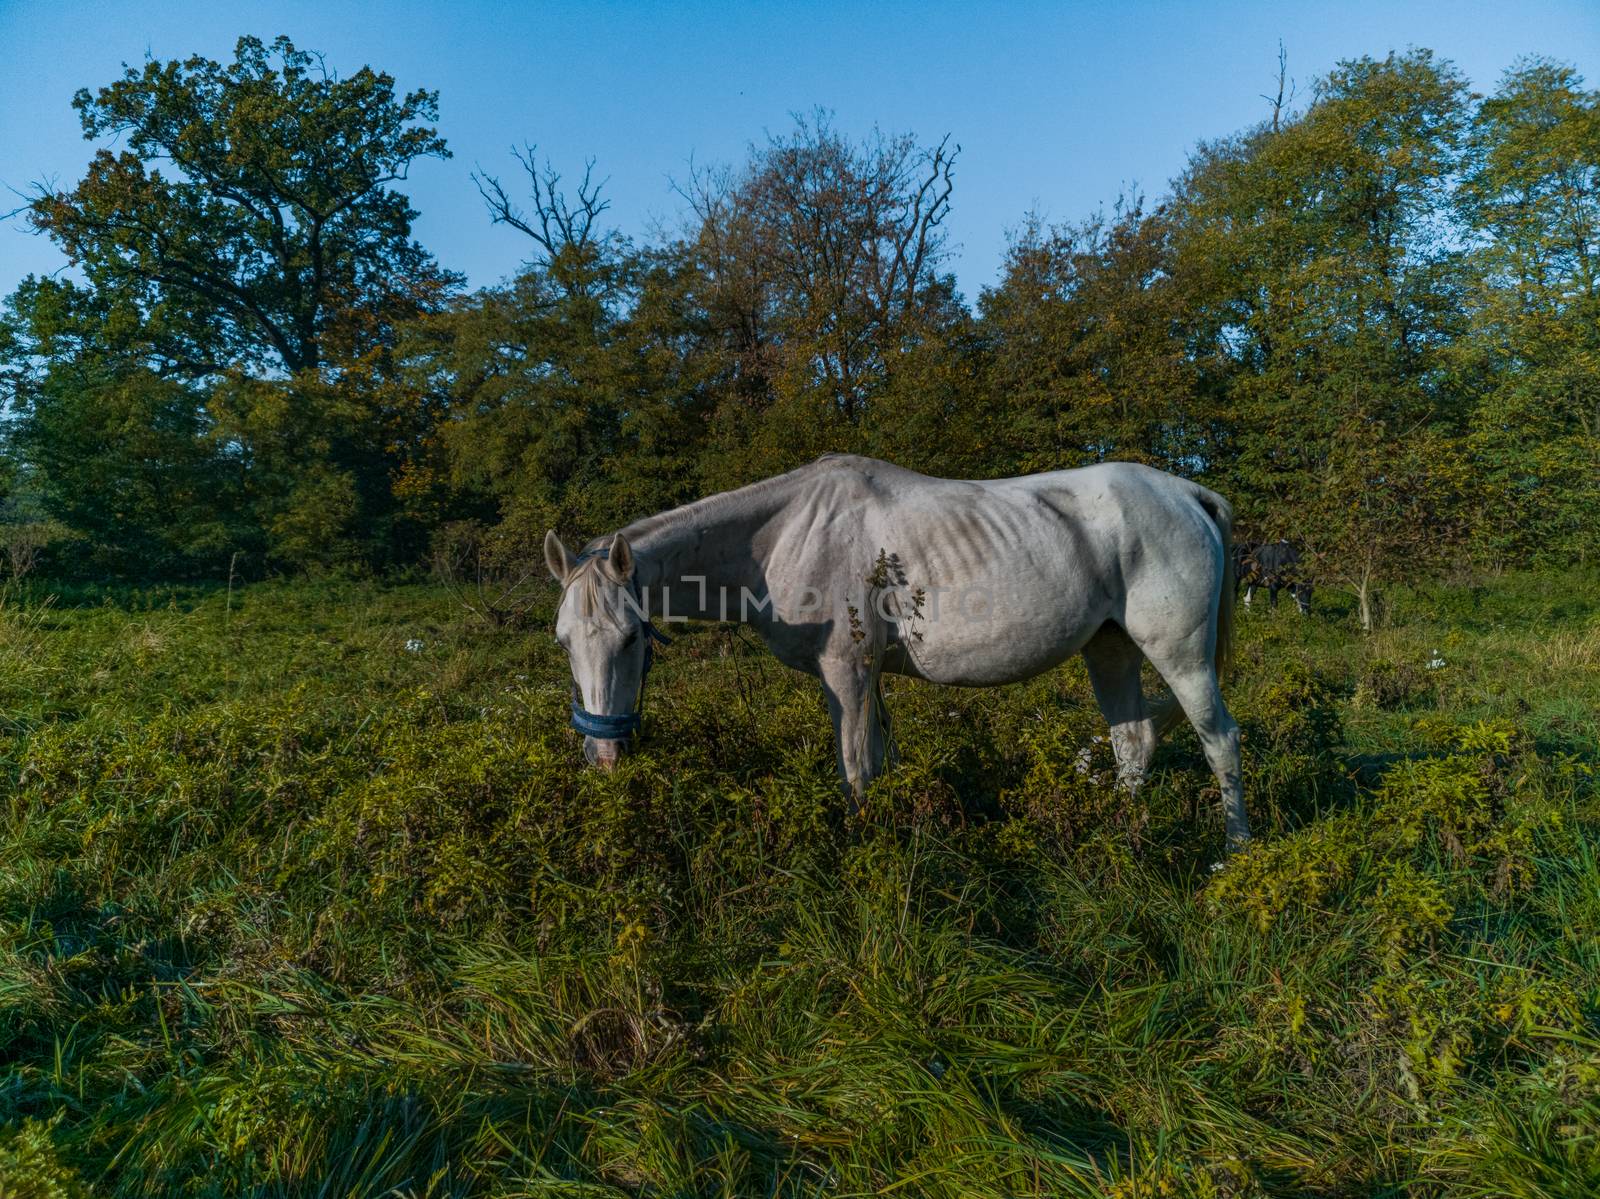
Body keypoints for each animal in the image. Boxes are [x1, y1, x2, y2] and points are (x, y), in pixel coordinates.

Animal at [540, 454, 1248, 845]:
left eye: (632, 637)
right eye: (564, 641)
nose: (604, 759)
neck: (782, 535)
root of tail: (1189, 494)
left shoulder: (848, 673)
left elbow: (858, 772)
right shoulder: (866, 680)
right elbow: (879, 761)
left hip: (1179, 653)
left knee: (1218, 739)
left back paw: (1234, 850)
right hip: (1110, 648)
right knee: (1134, 741)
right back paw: (1119, 833)